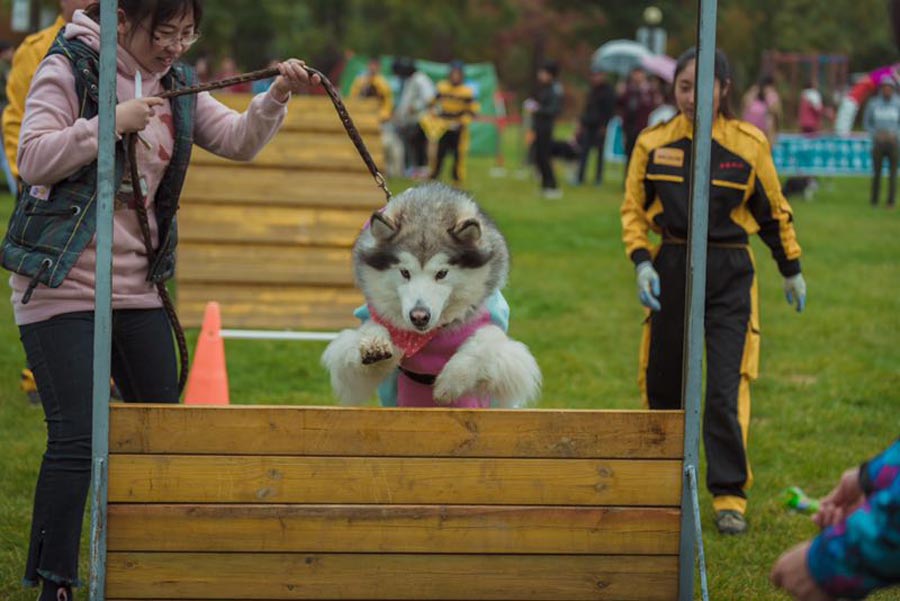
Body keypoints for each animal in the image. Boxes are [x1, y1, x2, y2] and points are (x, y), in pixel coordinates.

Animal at [324, 183, 540, 408]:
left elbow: (485, 341)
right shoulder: (352, 373)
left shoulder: (511, 358)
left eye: (442, 273)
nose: (419, 316)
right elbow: (369, 332)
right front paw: (375, 342)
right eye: (405, 272)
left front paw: (450, 382)